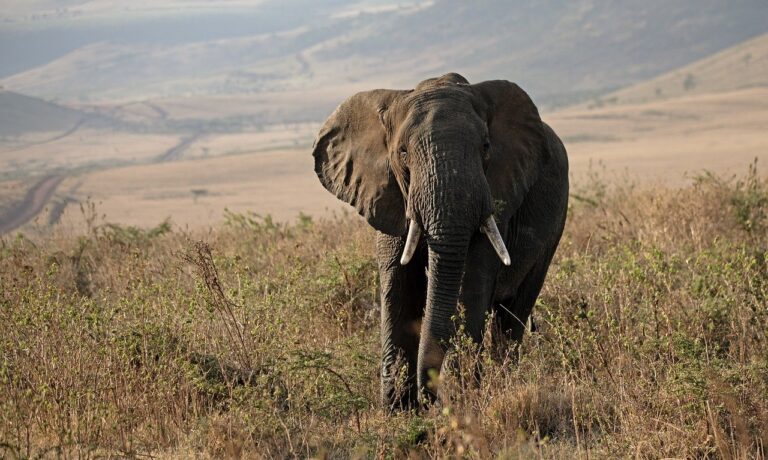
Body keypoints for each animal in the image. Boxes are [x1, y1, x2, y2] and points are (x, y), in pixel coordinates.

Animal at [312, 73, 569, 409]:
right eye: (403, 153)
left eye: (486, 147)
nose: (428, 397)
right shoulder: (387, 195)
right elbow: (398, 285)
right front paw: (398, 410)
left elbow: (470, 284)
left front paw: (460, 399)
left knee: (513, 313)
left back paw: (502, 384)